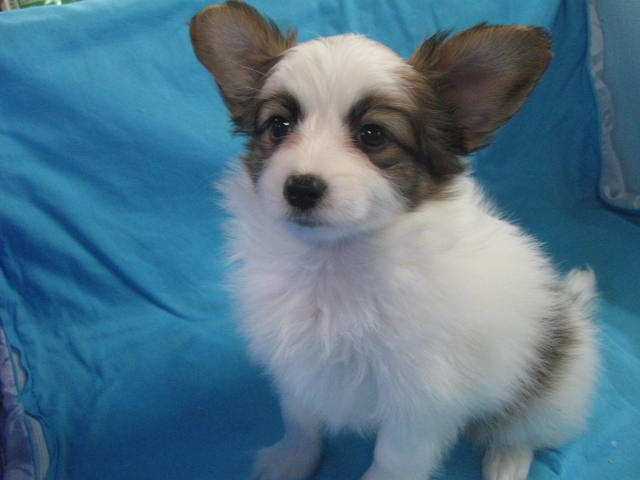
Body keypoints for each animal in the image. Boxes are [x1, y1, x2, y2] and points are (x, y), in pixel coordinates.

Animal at [190, 2, 598, 479]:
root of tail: (571, 309)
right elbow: (301, 421)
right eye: (279, 126)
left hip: (549, 391)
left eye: (373, 135)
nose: (301, 188)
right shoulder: (298, 368)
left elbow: (393, 459)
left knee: (521, 428)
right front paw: (291, 461)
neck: (335, 264)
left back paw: (507, 460)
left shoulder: (420, 401)